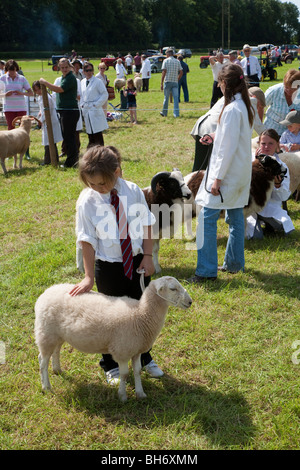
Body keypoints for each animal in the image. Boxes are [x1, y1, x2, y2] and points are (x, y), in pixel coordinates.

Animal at [34, 278, 192, 402]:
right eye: (172, 288)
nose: (190, 302)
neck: (140, 314)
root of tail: (45, 293)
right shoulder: (122, 351)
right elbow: (124, 374)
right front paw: (122, 396)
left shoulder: (136, 350)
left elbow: (137, 371)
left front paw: (140, 394)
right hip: (45, 333)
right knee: (42, 361)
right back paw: (46, 386)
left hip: (57, 334)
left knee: (56, 351)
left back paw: (57, 370)